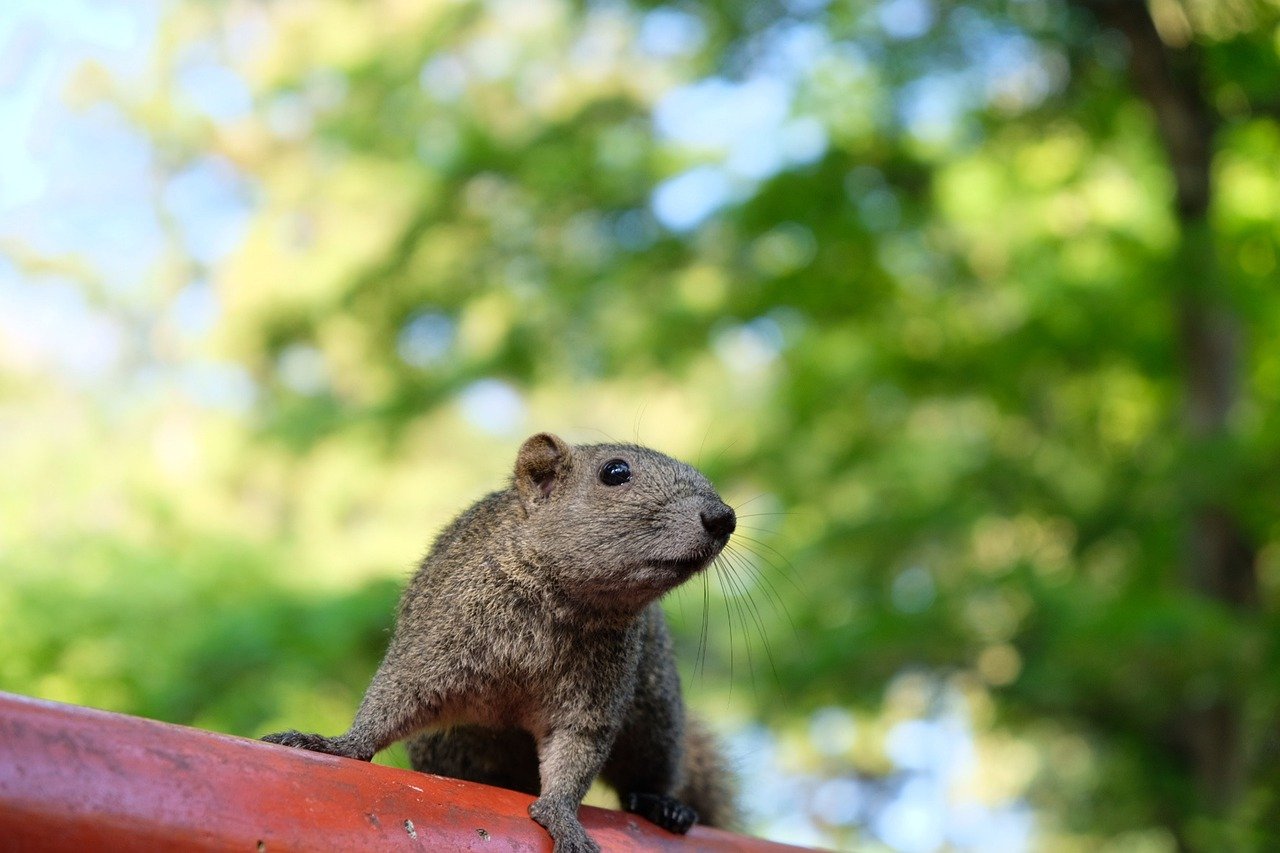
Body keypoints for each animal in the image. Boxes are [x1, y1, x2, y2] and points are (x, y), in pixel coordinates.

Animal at [262, 432, 742, 850]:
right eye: (615, 472)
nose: (723, 517)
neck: (561, 599)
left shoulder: (594, 695)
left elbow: (576, 749)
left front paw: (560, 814)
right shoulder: (435, 643)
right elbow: (391, 701)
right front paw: (337, 744)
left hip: (655, 717)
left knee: (646, 775)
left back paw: (663, 805)